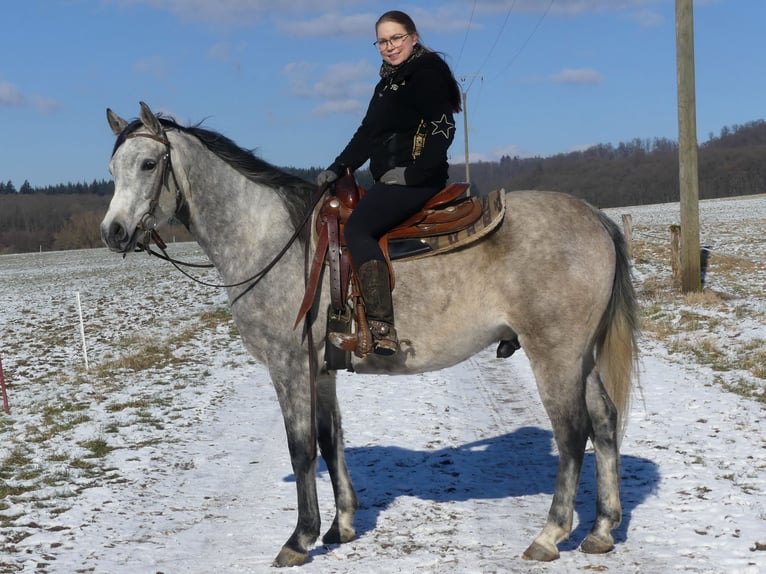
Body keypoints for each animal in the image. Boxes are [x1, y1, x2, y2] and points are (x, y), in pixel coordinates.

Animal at [102, 102, 640, 568]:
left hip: (554, 354)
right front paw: (341, 525)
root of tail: (596, 217)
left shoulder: (289, 366)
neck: (272, 241)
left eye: (148, 163)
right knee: (605, 423)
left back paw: (549, 535)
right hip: (580, 357)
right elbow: (330, 440)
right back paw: (601, 528)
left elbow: (301, 448)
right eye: (112, 169)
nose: (113, 232)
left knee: (572, 433)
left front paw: (299, 538)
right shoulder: (321, 370)